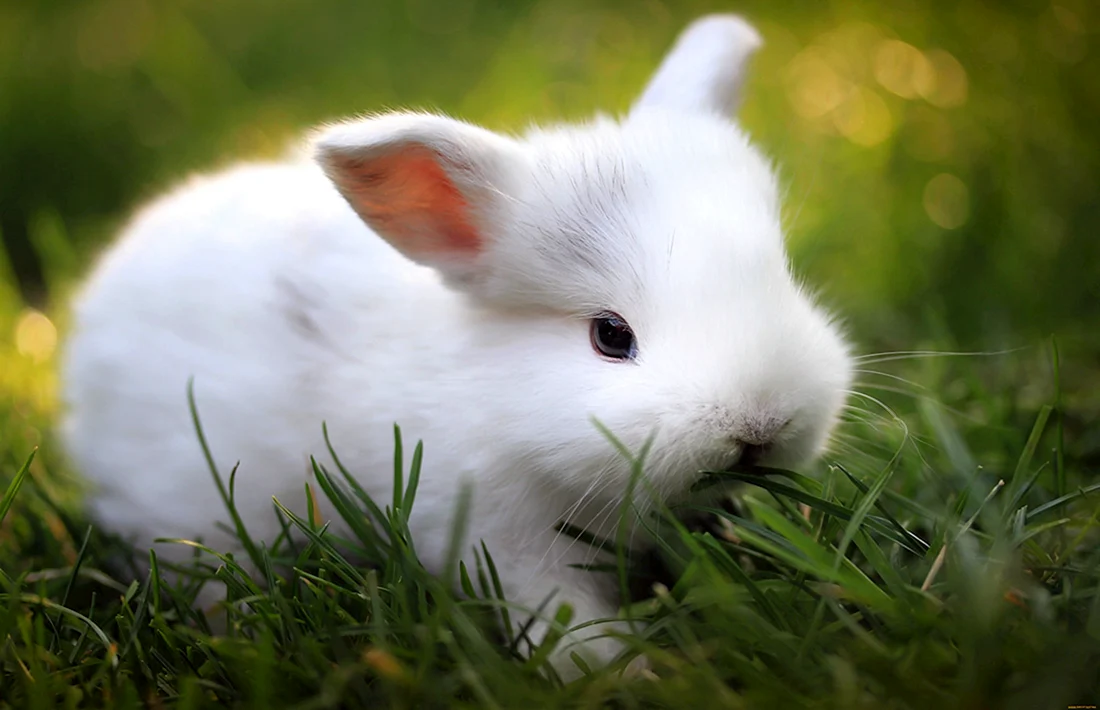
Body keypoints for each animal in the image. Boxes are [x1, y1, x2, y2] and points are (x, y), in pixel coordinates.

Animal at [60, 14, 853, 678]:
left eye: (780, 277)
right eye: (610, 335)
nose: (760, 426)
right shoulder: (500, 540)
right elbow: (562, 617)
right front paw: (622, 674)